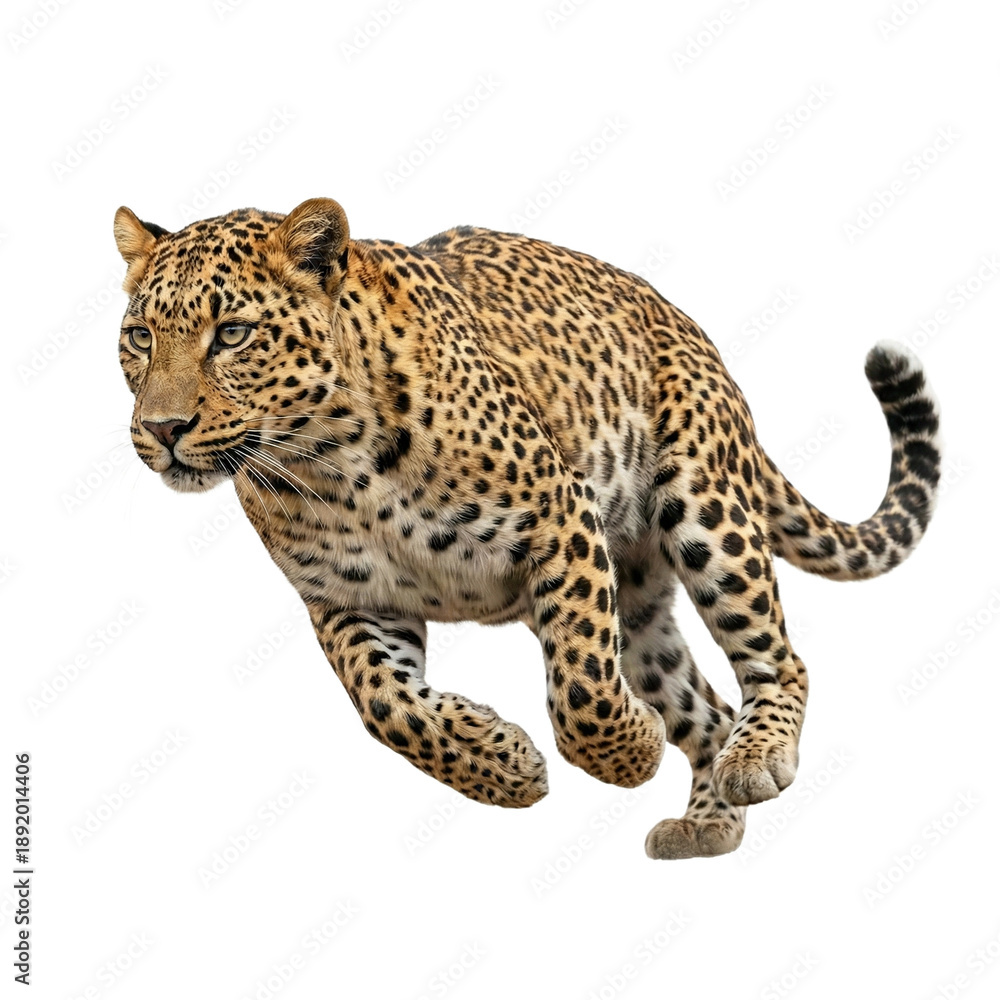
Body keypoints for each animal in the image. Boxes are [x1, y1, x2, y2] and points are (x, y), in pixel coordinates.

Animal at [113, 198, 941, 859]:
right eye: (140, 337)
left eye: (232, 334)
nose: (161, 429)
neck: (326, 466)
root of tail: (686, 325)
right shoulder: (348, 600)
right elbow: (389, 708)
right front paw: (504, 765)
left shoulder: (561, 516)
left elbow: (581, 687)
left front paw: (629, 752)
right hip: (639, 597)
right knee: (706, 708)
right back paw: (708, 822)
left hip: (706, 507)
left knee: (777, 658)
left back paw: (755, 756)